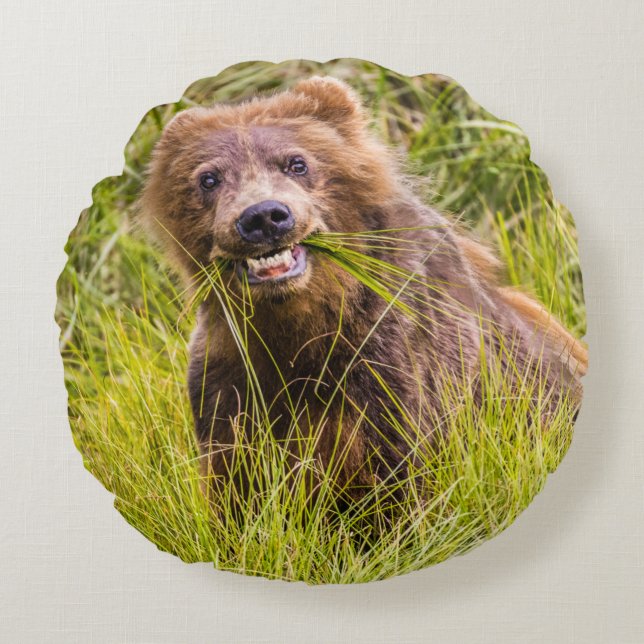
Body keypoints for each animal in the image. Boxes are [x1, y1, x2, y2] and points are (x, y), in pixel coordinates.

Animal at [139, 76, 586, 507]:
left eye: (296, 163)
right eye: (208, 178)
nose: (263, 217)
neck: (301, 323)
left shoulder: (393, 362)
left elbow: (402, 475)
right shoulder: (231, 373)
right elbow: (236, 482)